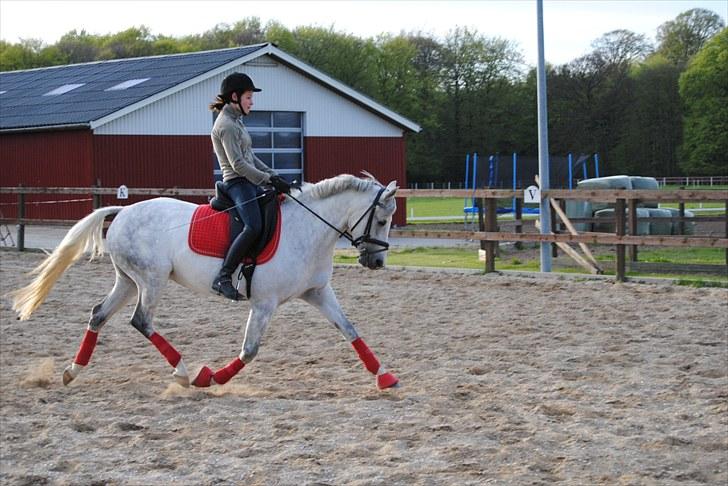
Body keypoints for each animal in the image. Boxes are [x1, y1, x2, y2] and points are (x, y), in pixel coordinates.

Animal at [9, 173, 398, 390]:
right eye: (381, 220)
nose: (376, 261)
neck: (308, 228)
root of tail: (122, 211)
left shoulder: (317, 292)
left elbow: (350, 330)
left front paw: (385, 377)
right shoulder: (264, 303)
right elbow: (250, 350)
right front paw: (210, 377)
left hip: (129, 281)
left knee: (98, 315)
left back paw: (71, 372)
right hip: (151, 280)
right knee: (141, 321)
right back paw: (183, 373)